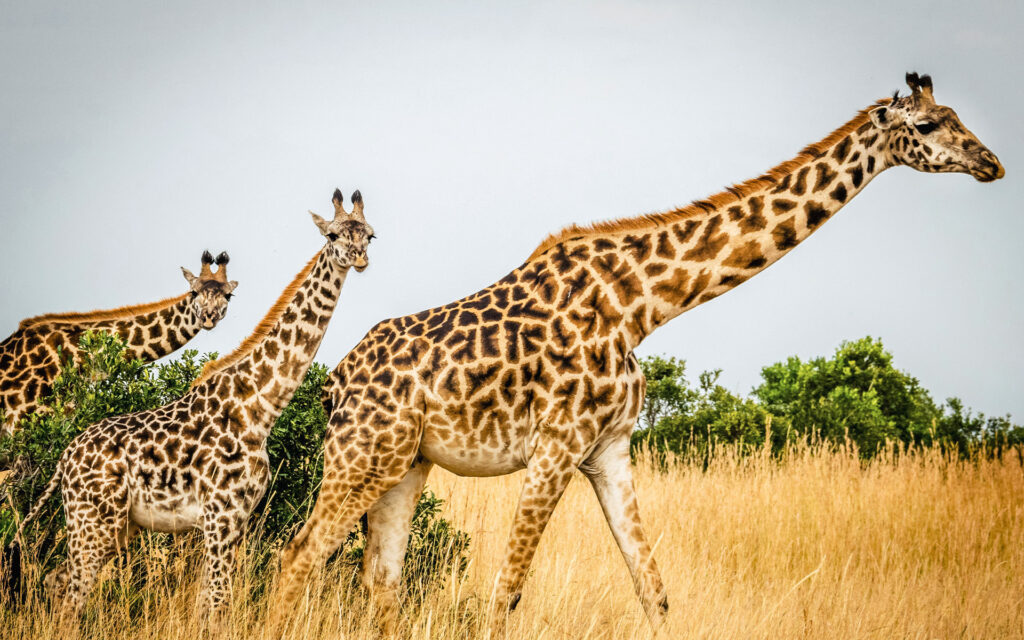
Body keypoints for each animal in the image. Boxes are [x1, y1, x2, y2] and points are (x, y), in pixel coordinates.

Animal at [268, 72, 1003, 630]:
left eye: (957, 116)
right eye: (929, 126)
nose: (990, 163)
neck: (643, 306)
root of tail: (333, 382)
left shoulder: (610, 450)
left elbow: (654, 590)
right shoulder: (556, 447)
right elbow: (506, 591)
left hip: (405, 463)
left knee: (381, 576)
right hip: (360, 457)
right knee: (296, 556)